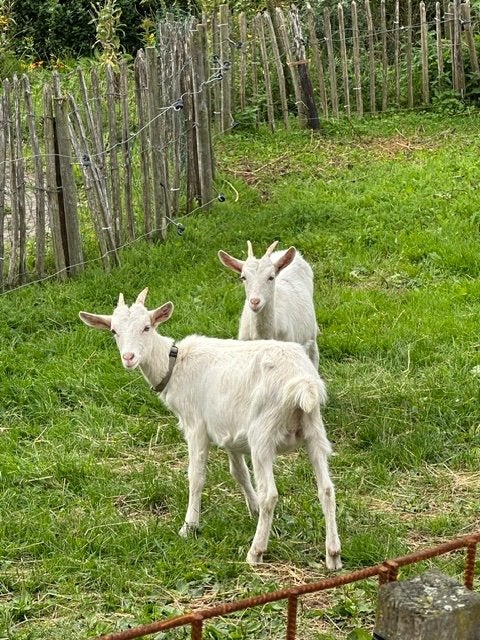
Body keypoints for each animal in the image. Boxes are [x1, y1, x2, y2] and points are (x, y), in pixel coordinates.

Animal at [79, 288, 341, 568]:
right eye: (114, 331)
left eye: (147, 327)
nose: (129, 358)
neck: (174, 365)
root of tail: (302, 383)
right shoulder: (229, 432)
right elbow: (239, 473)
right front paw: (252, 509)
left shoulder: (195, 425)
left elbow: (196, 476)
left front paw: (189, 526)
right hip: (314, 430)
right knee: (326, 489)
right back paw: (333, 554)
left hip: (263, 433)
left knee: (270, 493)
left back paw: (255, 551)